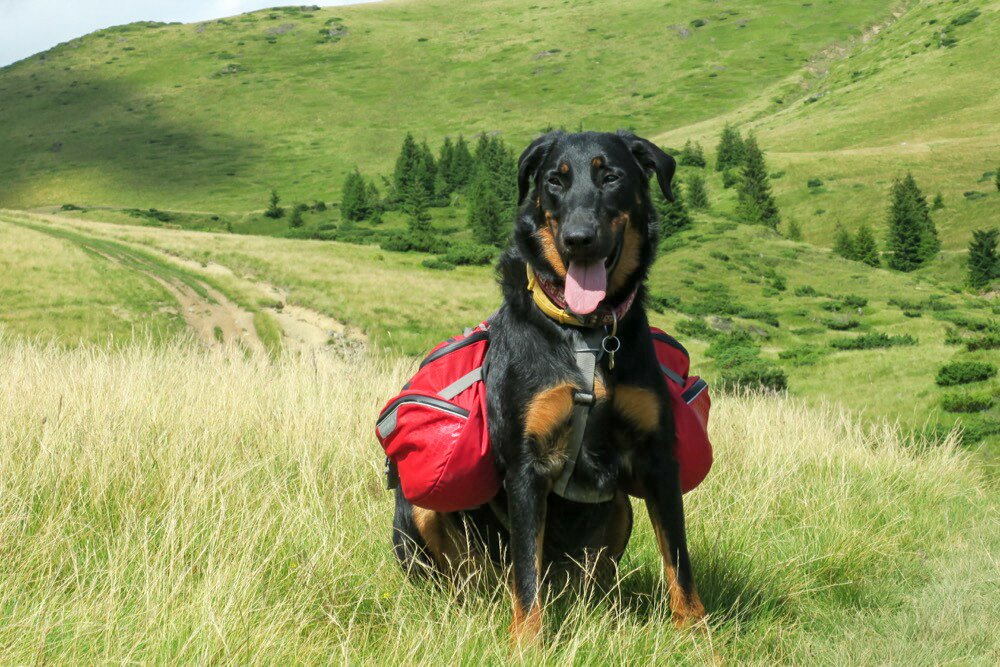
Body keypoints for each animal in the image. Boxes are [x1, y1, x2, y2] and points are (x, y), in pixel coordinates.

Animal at [390, 132, 704, 648]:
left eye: (610, 176)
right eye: (555, 180)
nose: (578, 239)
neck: (588, 334)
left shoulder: (658, 459)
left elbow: (679, 559)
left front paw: (696, 633)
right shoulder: (527, 464)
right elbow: (526, 572)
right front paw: (527, 642)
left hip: (617, 514)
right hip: (417, 512)